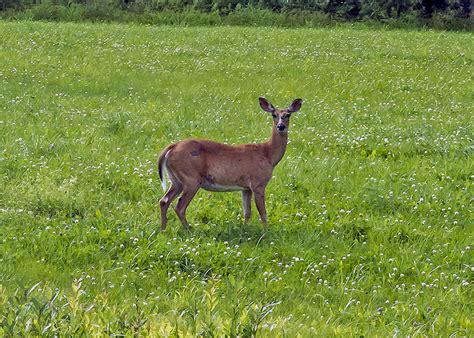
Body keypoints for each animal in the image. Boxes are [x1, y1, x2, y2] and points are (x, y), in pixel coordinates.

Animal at [157, 96, 302, 231]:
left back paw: (163, 229)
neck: (268, 155)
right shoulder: (258, 183)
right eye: (274, 114)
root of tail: (172, 148)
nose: (281, 126)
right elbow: (263, 213)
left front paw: (246, 229)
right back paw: (188, 229)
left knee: (164, 201)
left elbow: (247, 212)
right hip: (191, 178)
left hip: (176, 180)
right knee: (179, 206)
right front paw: (266, 231)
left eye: (287, 115)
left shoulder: (246, 188)